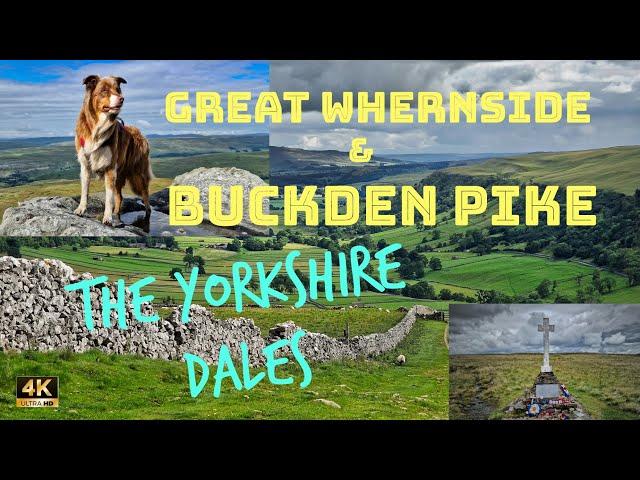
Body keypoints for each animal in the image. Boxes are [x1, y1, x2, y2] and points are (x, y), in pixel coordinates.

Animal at [73, 74, 152, 227]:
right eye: (104, 90)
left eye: (118, 89)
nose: (122, 99)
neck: (97, 127)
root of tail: (140, 133)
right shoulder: (85, 166)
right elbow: (84, 191)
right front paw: (81, 209)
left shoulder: (110, 169)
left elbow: (108, 197)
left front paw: (107, 218)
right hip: (119, 174)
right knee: (120, 196)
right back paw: (116, 214)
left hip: (137, 174)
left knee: (145, 194)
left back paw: (146, 214)